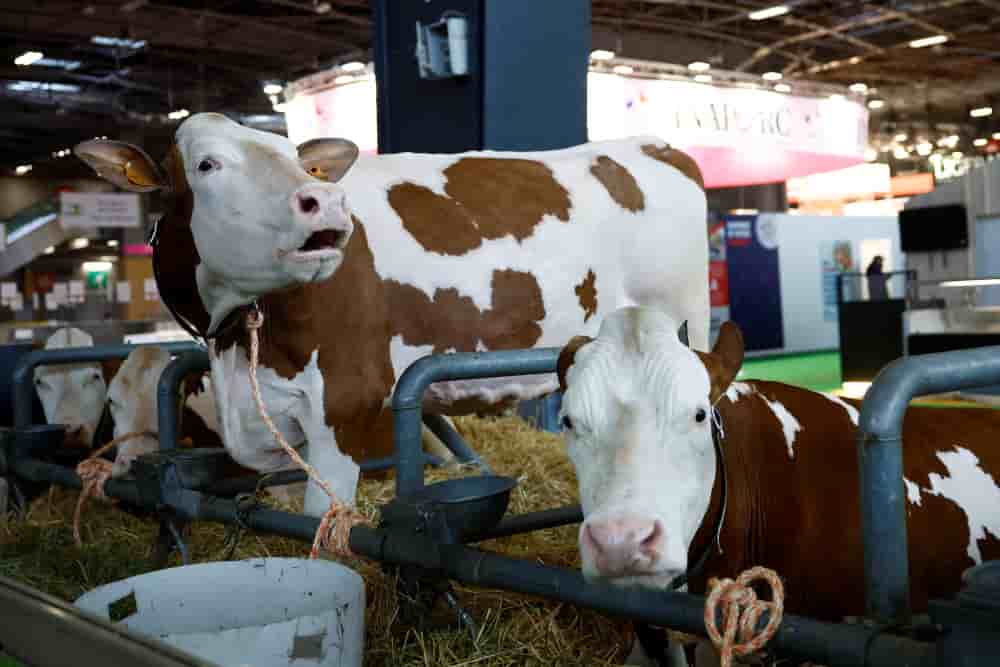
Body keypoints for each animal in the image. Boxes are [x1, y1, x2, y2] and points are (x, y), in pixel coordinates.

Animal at [74, 112, 710, 518]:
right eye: (206, 165)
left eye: (297, 161)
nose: (327, 202)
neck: (233, 342)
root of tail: (656, 146)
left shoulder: (344, 402)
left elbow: (321, 519)